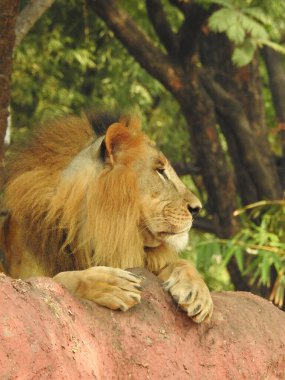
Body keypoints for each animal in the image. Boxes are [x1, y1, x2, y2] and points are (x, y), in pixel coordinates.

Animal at [1, 111, 212, 322]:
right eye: (160, 171)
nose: (197, 208)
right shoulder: (23, 279)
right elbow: (58, 280)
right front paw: (111, 284)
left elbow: (181, 263)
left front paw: (199, 293)